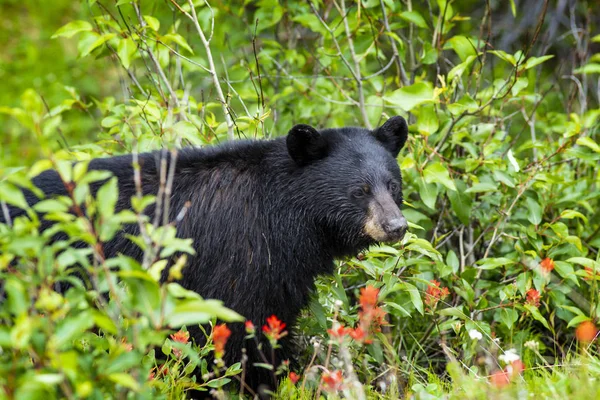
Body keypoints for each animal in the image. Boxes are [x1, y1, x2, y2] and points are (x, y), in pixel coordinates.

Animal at [0, 115, 408, 394]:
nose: (396, 225)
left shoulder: (281, 272)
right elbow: (230, 335)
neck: (283, 216)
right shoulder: (236, 258)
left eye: (392, 185)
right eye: (359, 190)